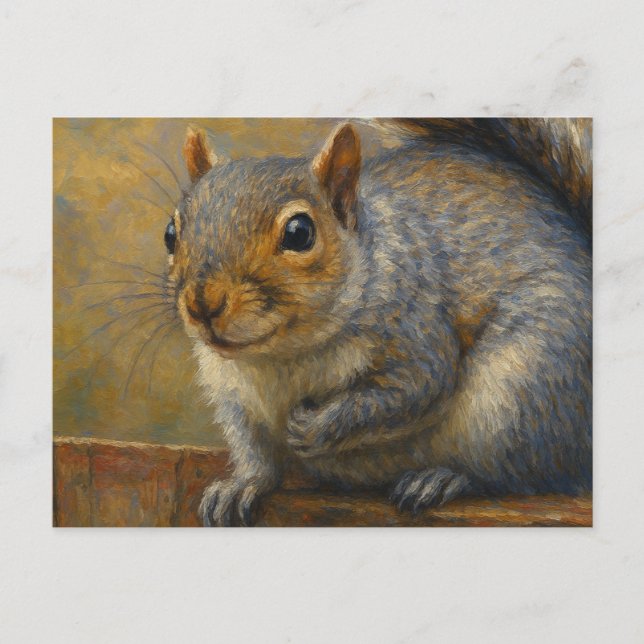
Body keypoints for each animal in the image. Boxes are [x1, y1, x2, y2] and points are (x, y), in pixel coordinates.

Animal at [163, 118, 592, 526]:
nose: (203, 303)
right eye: (171, 233)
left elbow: (409, 391)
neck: (282, 355)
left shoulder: (416, 330)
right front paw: (242, 485)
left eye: (300, 233)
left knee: (516, 474)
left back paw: (441, 478)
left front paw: (314, 427)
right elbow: (255, 453)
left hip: (523, 392)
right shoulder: (235, 398)